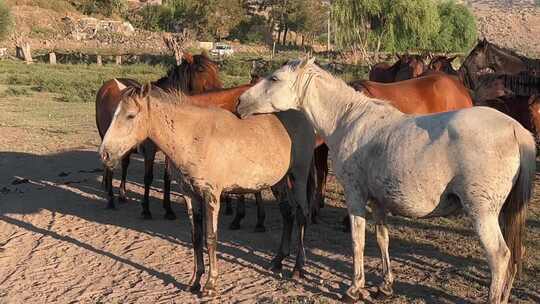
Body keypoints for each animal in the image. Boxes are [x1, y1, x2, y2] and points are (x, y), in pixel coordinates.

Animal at [237, 58, 536, 304]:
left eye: (274, 79)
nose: (240, 102)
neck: (349, 120)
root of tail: (515, 129)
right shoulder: (379, 202)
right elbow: (383, 239)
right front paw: (385, 286)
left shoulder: (355, 196)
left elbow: (357, 240)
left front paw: (355, 289)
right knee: (513, 257)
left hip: (482, 214)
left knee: (500, 257)